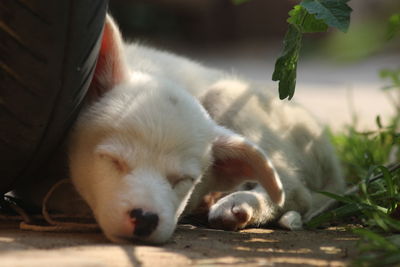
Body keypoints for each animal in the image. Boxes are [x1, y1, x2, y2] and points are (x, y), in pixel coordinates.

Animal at [69, 15, 344, 245]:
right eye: (112, 161)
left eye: (185, 180)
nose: (146, 219)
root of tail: (330, 157)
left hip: (228, 97)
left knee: (294, 189)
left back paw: (241, 204)